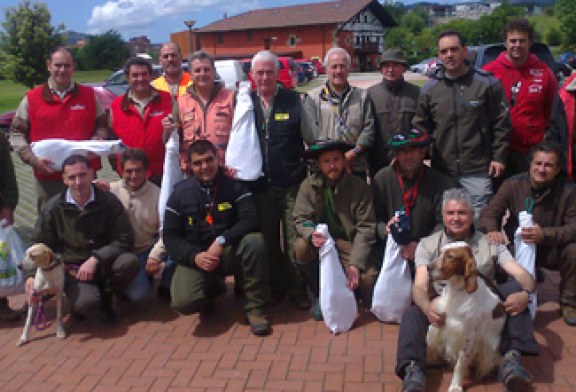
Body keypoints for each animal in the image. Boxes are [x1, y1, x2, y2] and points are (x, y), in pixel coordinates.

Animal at [428, 242, 504, 392]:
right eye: (441, 252)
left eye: (451, 257)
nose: (428, 267)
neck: (459, 291)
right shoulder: (443, 320)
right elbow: (430, 333)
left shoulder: (468, 336)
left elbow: (460, 363)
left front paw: (455, 386)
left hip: (489, 347)